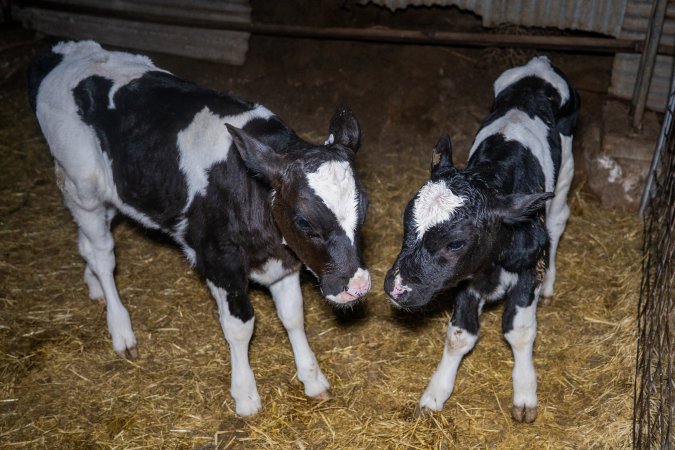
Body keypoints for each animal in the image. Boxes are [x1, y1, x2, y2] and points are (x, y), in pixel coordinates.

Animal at [28, 40, 371, 417]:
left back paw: (94, 287)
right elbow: (240, 326)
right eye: (303, 221)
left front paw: (312, 378)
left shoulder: (283, 259)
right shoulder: (218, 261)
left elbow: (293, 316)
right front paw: (245, 395)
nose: (356, 286)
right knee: (103, 255)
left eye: (365, 206)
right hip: (82, 185)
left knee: (89, 244)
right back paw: (120, 329)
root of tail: (66, 51)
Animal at [384, 56, 580, 423]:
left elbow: (518, 331)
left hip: (567, 171)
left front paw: (525, 392)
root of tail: (539, 63)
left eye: (456, 243)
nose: (396, 288)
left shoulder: (528, 269)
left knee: (559, 218)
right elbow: (460, 335)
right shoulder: (465, 279)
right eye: (406, 221)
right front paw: (436, 393)